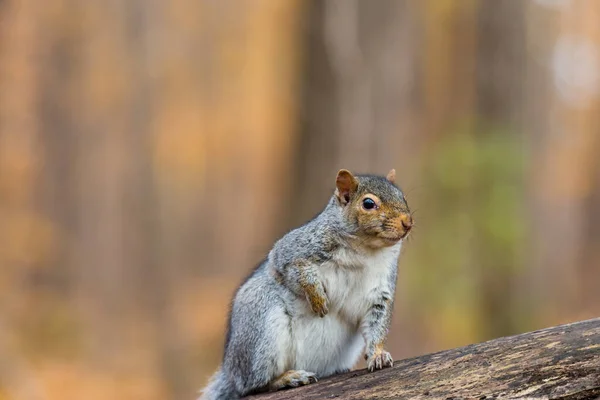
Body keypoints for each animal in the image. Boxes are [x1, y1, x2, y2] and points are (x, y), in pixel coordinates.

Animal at [200, 169, 412, 400]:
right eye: (368, 203)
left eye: (403, 197)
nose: (408, 222)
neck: (367, 251)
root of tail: (231, 370)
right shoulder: (293, 250)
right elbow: (294, 269)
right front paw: (318, 298)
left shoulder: (380, 290)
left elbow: (378, 324)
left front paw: (379, 355)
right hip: (262, 330)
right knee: (253, 385)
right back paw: (287, 378)